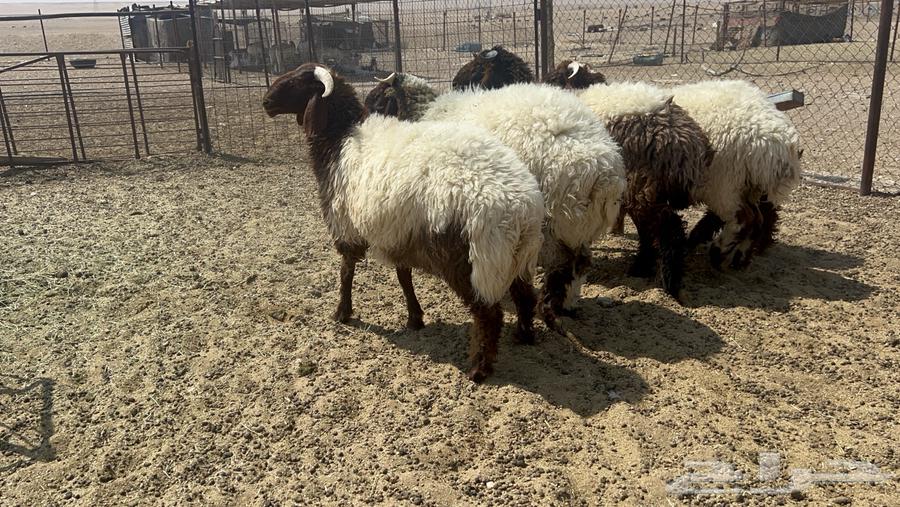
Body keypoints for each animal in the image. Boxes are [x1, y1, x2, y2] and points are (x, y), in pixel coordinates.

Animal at [263, 63, 546, 381]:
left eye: (298, 82)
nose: (266, 102)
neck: (339, 139)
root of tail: (521, 207)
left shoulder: (346, 225)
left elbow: (346, 272)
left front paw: (343, 313)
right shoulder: (399, 232)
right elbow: (403, 276)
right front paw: (414, 317)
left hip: (471, 259)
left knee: (489, 314)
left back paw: (479, 368)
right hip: (515, 257)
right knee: (525, 297)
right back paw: (523, 335)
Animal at [365, 72, 626, 323]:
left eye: (380, 97)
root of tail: (605, 172)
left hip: (554, 221)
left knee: (565, 263)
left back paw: (554, 305)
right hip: (576, 227)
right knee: (581, 261)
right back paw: (569, 303)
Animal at [545, 61, 714, 299]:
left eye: (555, 78)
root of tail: (684, 141)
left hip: (642, 188)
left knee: (668, 230)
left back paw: (668, 283)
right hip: (644, 192)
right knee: (650, 231)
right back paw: (641, 268)